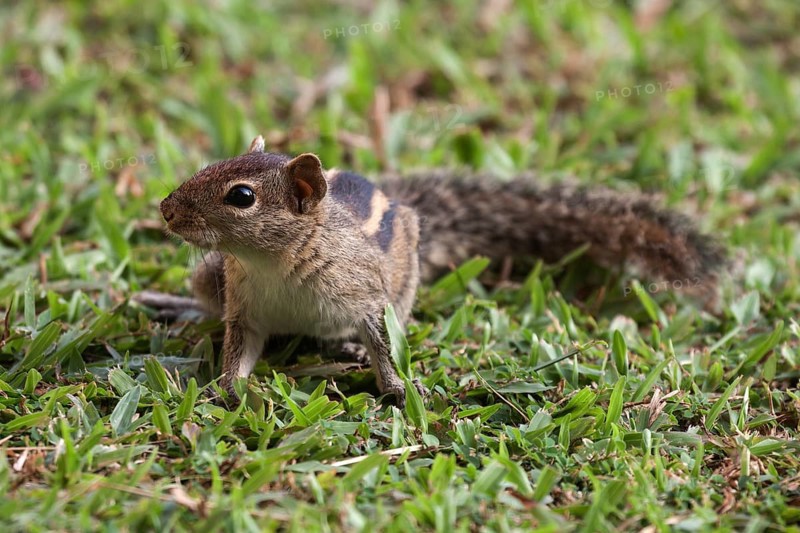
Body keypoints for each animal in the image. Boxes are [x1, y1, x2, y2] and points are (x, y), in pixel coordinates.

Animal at [139, 135, 725, 406]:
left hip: (405, 276)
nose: (166, 209)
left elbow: (381, 337)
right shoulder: (246, 308)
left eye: (241, 197)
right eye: (211, 164)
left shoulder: (366, 295)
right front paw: (225, 391)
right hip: (209, 275)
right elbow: (237, 352)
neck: (273, 264)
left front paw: (397, 387)